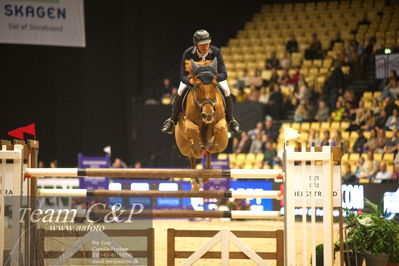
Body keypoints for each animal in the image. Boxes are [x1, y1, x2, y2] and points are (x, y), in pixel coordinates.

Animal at [174, 58, 228, 191]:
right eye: (197, 85)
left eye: (215, 84)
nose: (207, 115)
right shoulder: (188, 123)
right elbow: (194, 130)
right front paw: (198, 148)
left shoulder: (221, 121)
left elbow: (219, 127)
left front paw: (211, 144)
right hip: (183, 146)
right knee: (191, 157)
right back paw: (195, 183)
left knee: (207, 155)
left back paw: (206, 175)